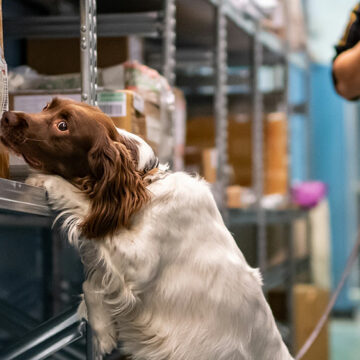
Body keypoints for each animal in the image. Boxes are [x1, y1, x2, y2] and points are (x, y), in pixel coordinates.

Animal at [0, 97, 292, 360]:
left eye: (62, 126)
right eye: (46, 106)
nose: (6, 116)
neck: (145, 182)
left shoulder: (137, 261)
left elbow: (90, 270)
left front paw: (47, 180)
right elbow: (92, 283)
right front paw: (103, 329)